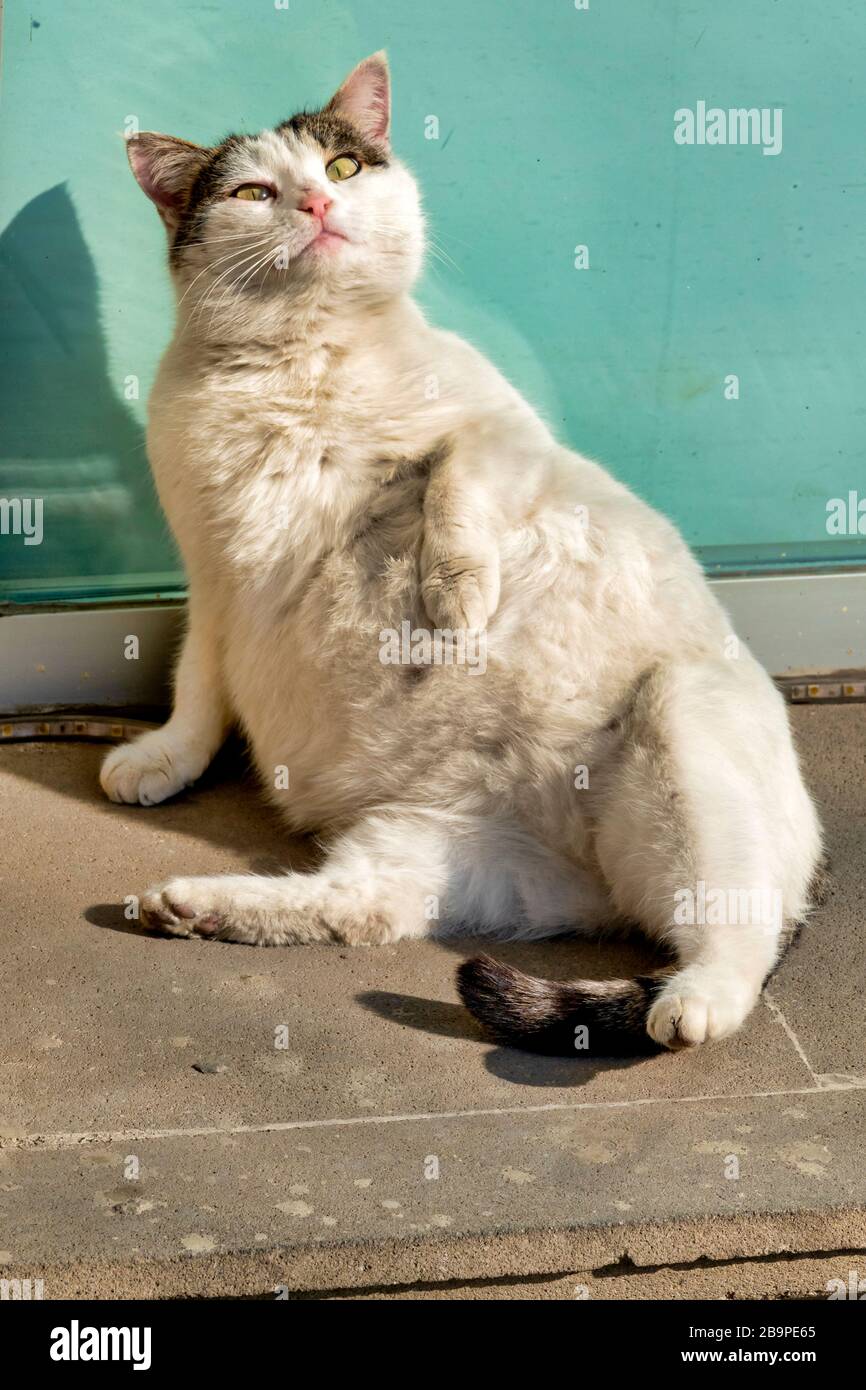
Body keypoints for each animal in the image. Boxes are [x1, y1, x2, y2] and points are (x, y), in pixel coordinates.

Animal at [101, 51, 817, 1050]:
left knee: (737, 935)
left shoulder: (509, 435)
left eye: (343, 168)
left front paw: (453, 597)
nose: (316, 205)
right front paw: (166, 755)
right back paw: (198, 906)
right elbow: (198, 687)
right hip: (424, 843)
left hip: (683, 721)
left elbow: (452, 475)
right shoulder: (212, 580)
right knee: (360, 910)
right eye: (253, 192)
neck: (299, 362)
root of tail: (580, 867)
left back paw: (692, 1004)